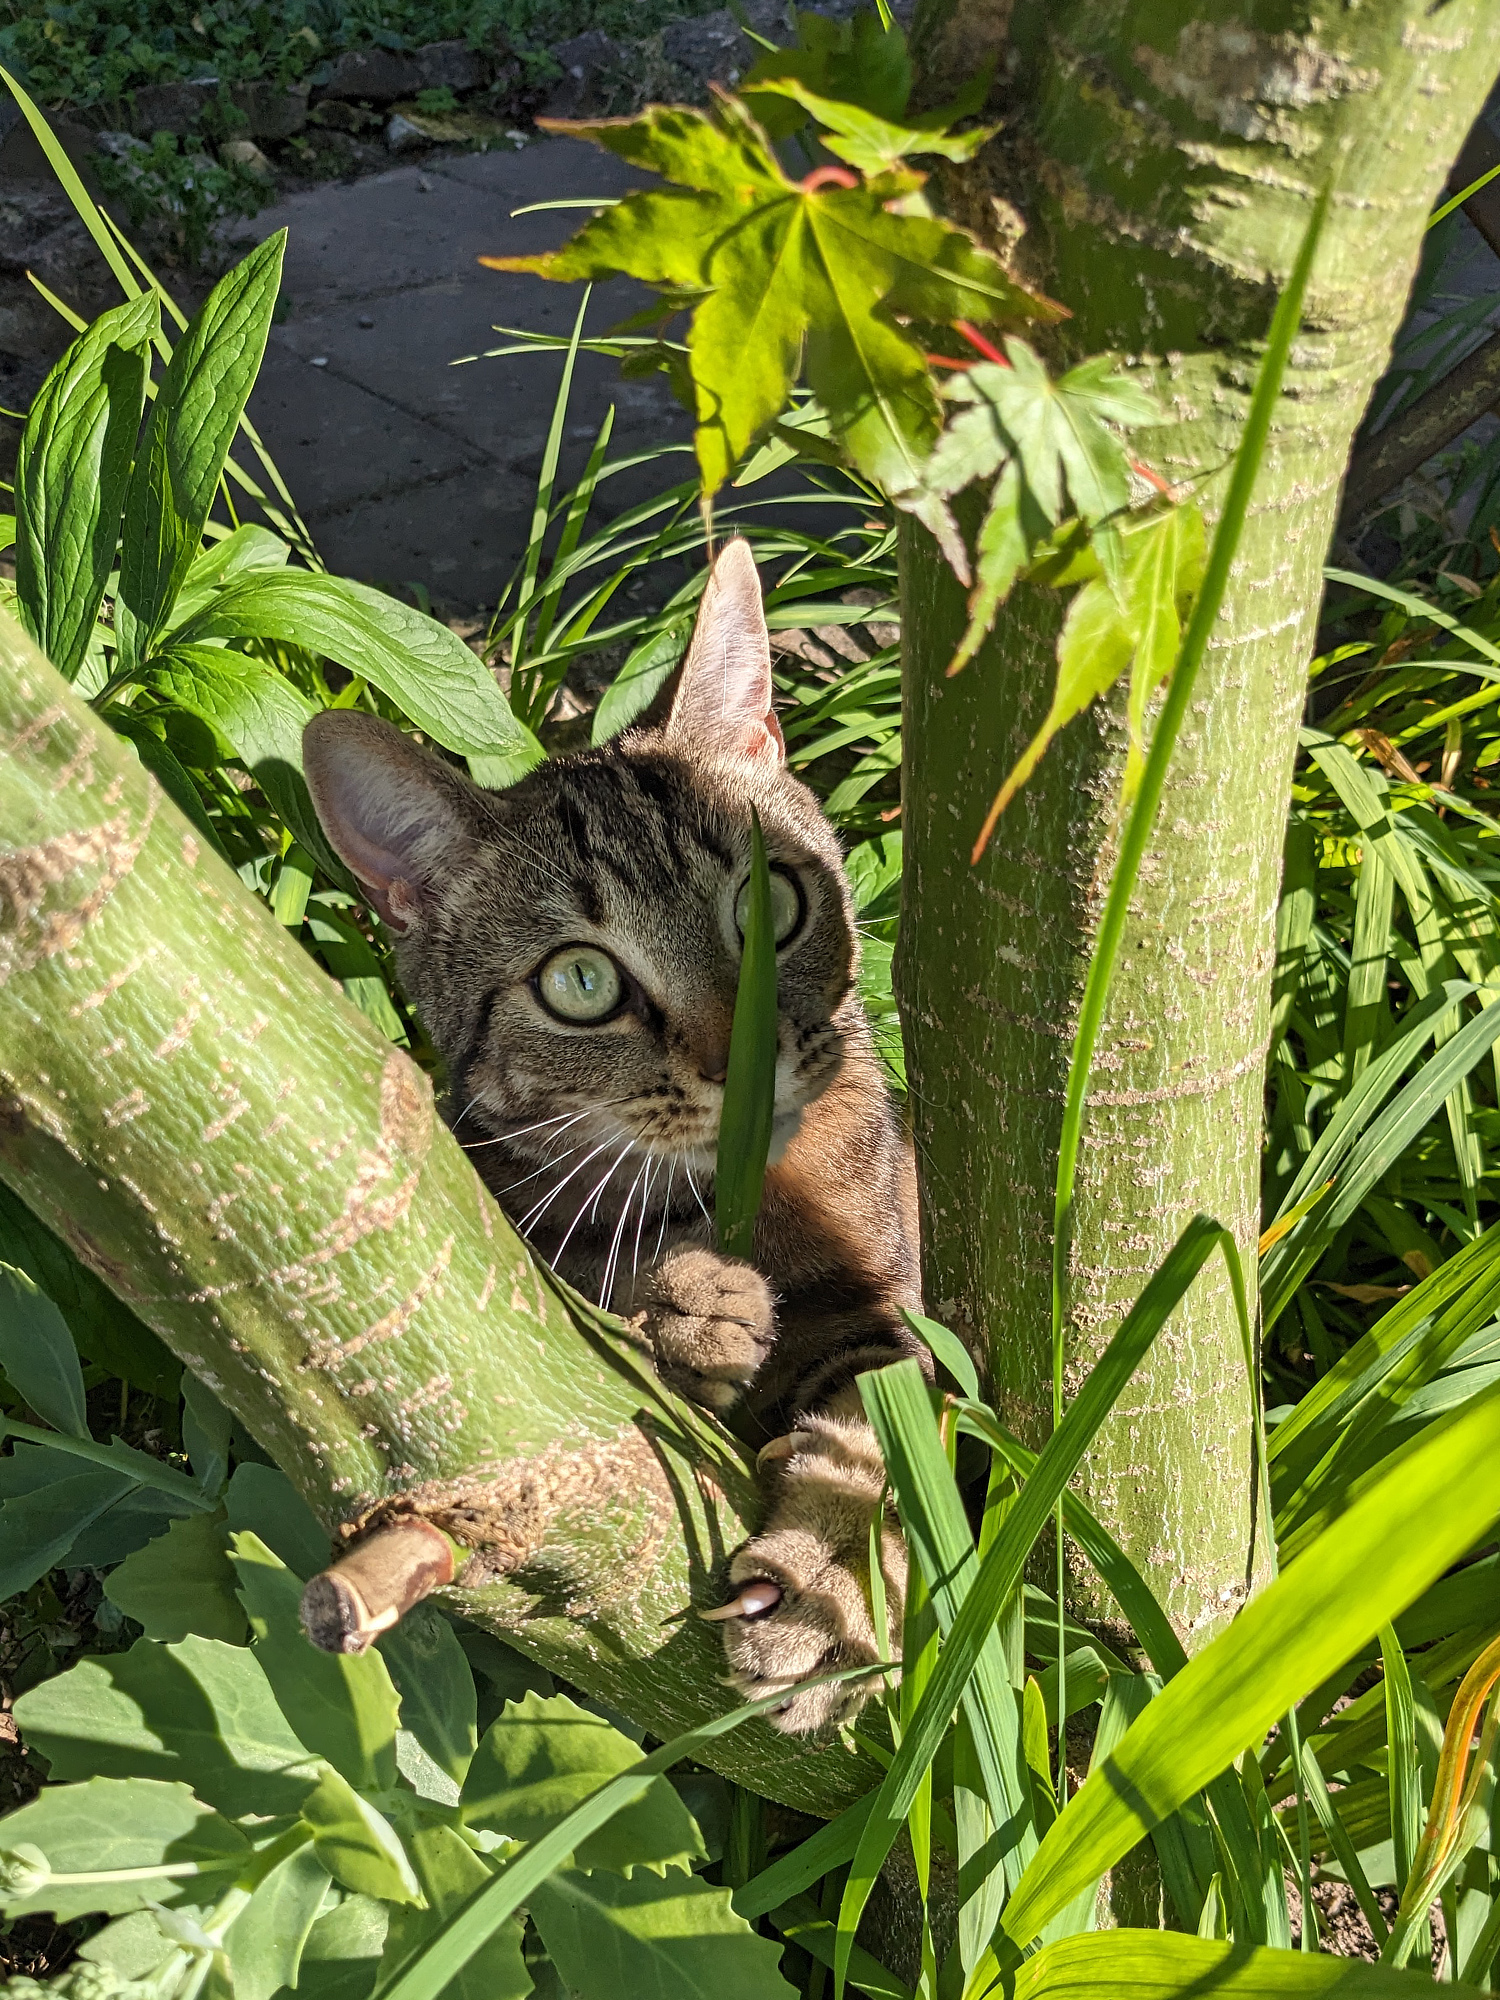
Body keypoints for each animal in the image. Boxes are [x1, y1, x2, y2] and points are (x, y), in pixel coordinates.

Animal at [302, 540, 924, 1728]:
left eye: (772, 902)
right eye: (582, 983)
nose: (739, 1059)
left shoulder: (901, 1300)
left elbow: (888, 1430)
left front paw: (836, 1580)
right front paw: (681, 1308)